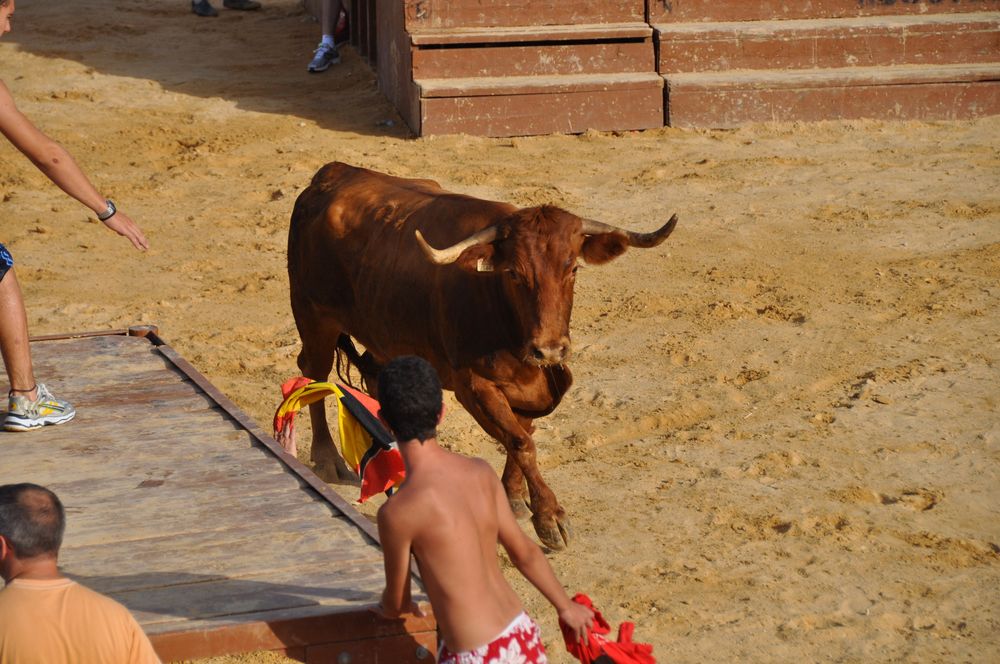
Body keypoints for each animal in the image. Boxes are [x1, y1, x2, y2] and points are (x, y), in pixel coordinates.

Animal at [290, 162, 680, 548]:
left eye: (573, 268)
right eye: (515, 274)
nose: (550, 349)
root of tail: (331, 175)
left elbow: (523, 432)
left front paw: (513, 497)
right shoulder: (474, 385)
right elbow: (521, 441)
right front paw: (549, 517)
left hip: (386, 334)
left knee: (374, 376)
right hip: (314, 317)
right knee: (314, 375)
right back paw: (326, 458)